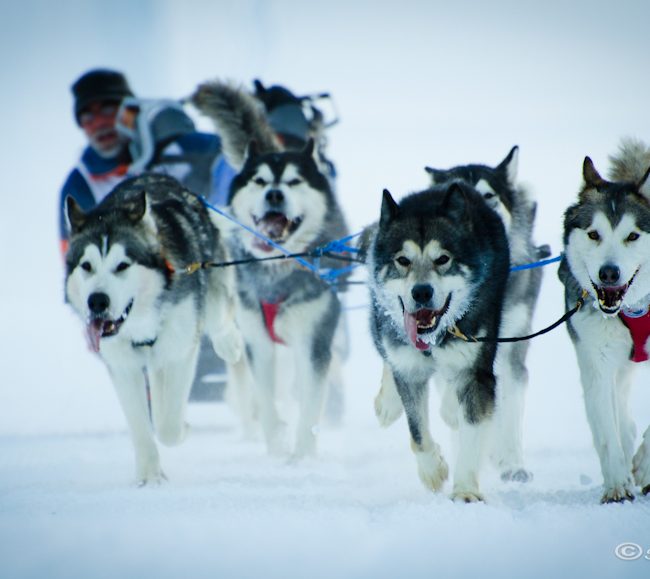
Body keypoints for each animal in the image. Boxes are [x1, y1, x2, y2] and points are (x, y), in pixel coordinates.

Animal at [64, 173, 240, 484]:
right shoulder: (123, 366)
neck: (140, 323)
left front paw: (182, 429)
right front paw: (148, 477)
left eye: (122, 265)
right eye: (86, 265)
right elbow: (141, 426)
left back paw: (228, 343)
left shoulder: (181, 352)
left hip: (211, 291)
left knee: (220, 319)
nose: (97, 301)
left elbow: (167, 426)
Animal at [190, 80, 346, 458]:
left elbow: (309, 403)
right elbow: (265, 399)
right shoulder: (257, 342)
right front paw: (276, 442)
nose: (274, 194)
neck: (278, 269)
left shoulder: (313, 341)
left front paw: (302, 455)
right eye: (259, 182)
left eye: (294, 182)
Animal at [368, 184, 508, 500]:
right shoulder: (409, 371)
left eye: (443, 259)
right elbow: (417, 431)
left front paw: (465, 489)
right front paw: (433, 470)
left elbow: (471, 432)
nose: (421, 292)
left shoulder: (474, 374)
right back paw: (388, 404)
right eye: (403, 260)